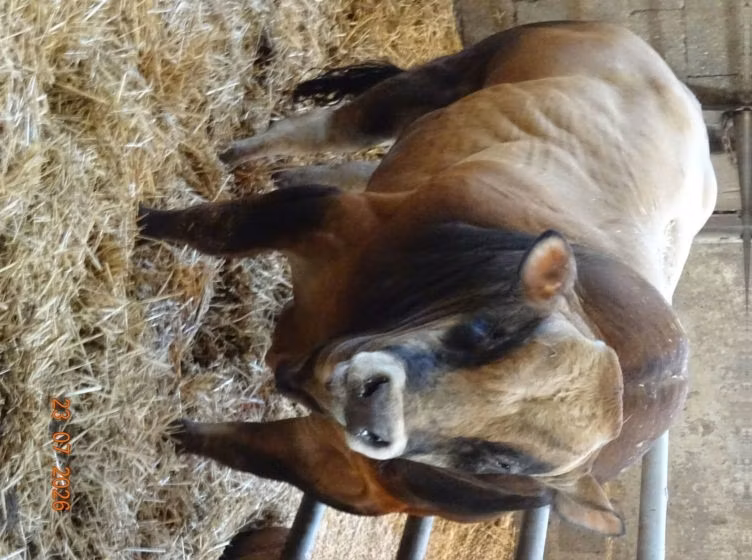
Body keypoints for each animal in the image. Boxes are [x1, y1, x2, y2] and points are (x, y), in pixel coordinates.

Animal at [138, 20, 717, 548]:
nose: (374, 408)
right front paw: (141, 220)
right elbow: (212, 226)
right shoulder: (330, 218)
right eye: (486, 330)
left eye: (497, 460)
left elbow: (234, 447)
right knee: (329, 128)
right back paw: (235, 154)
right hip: (445, 77)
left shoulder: (343, 470)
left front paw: (173, 434)